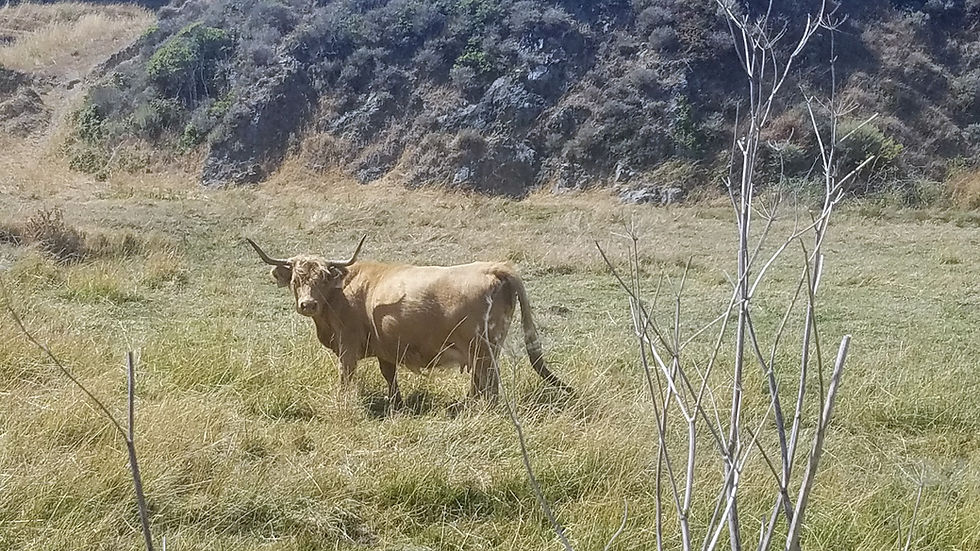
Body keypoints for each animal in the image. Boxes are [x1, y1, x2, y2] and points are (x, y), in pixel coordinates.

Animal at [246, 236, 567, 410]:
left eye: (323, 278)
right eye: (296, 280)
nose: (308, 304)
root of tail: (495, 266)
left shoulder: (347, 346)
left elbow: (345, 377)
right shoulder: (385, 349)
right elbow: (390, 377)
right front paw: (395, 404)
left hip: (482, 349)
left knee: (487, 385)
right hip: (485, 350)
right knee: (482, 384)